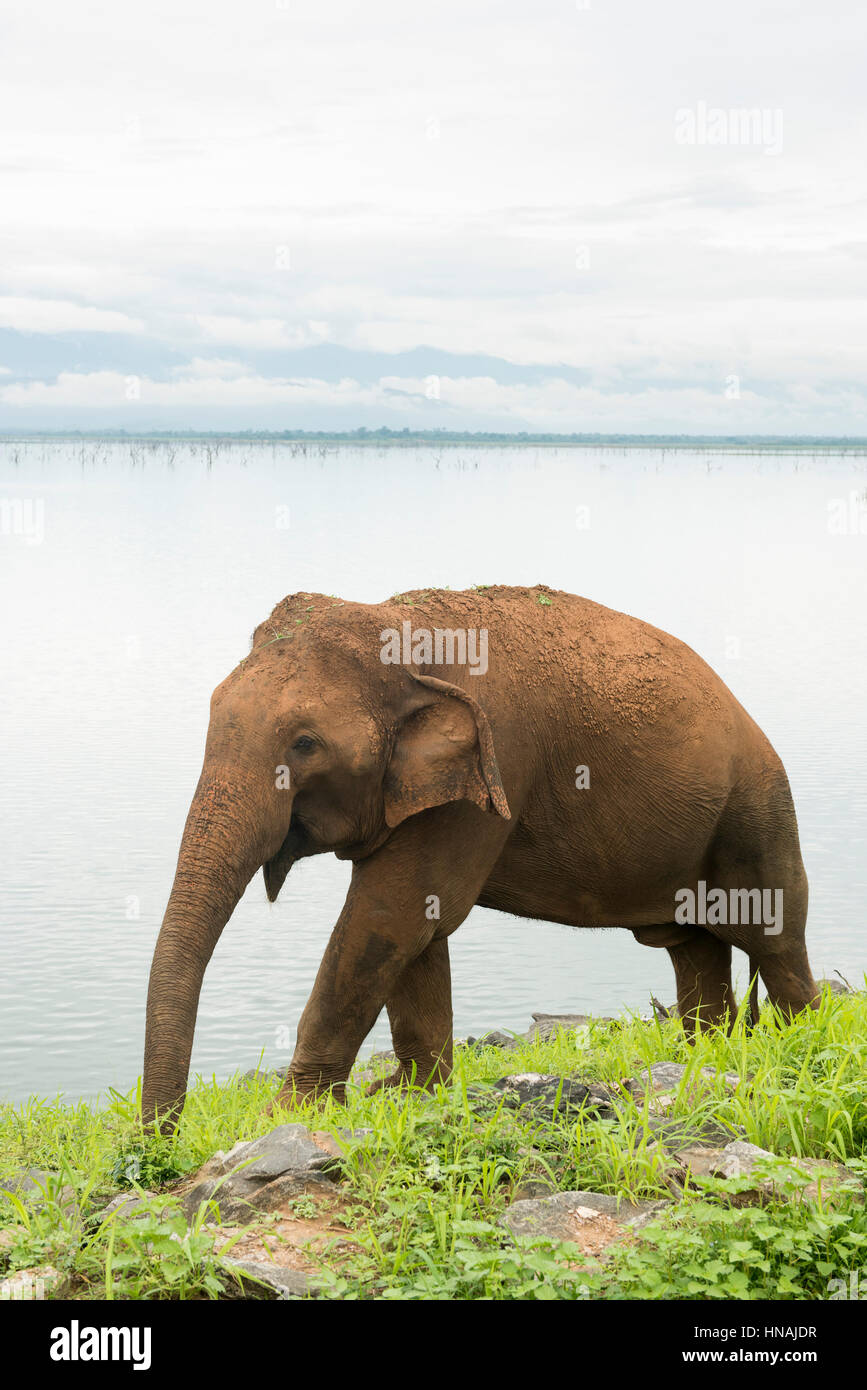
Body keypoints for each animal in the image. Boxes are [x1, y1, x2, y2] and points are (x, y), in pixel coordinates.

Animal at [142, 585, 818, 1126]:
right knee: (692, 946)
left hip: (756, 810)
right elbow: (415, 927)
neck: (406, 629)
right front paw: (412, 1094)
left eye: (305, 744)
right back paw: (709, 1053)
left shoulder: (495, 763)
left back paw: (802, 1039)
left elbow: (388, 917)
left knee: (773, 936)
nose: (161, 1139)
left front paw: (289, 1114)